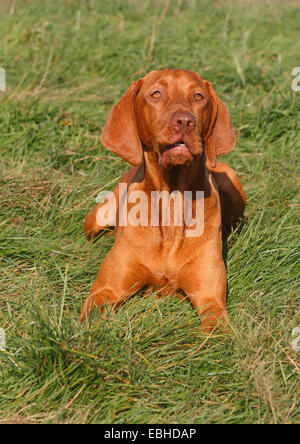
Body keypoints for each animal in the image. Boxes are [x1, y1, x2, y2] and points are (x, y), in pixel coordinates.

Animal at [81, 68, 245, 332]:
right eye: (156, 94)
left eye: (198, 96)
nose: (185, 121)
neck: (172, 200)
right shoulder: (106, 290)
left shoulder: (210, 299)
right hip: (96, 218)